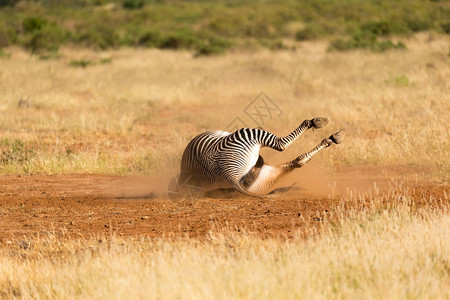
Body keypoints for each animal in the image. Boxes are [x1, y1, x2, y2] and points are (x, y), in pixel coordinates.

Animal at [169, 118, 344, 199]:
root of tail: (231, 178)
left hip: (265, 177)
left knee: (298, 161)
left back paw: (330, 139)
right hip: (249, 136)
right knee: (281, 144)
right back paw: (320, 124)